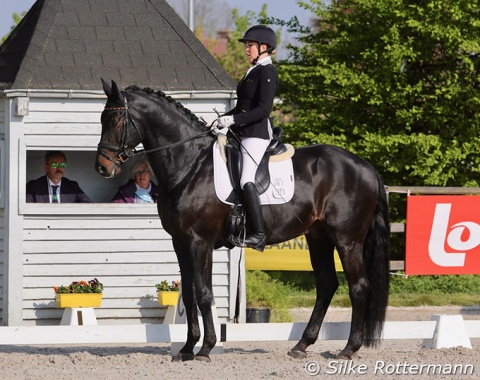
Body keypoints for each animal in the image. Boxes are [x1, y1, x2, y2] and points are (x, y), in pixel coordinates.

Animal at [94, 80, 390, 362]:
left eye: (116, 120)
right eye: (101, 119)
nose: (102, 167)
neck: (190, 164)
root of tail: (365, 166)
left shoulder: (200, 241)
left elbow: (204, 294)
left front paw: (206, 349)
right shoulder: (180, 242)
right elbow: (189, 294)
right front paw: (187, 349)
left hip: (347, 239)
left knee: (359, 287)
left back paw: (348, 349)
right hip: (318, 237)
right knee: (327, 285)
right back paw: (301, 346)